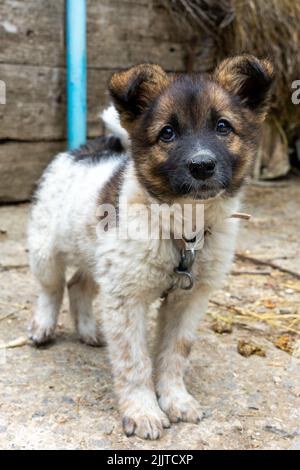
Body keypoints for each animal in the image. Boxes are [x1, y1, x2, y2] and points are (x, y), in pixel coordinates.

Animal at [28, 57, 274, 438]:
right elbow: (135, 362)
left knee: (79, 285)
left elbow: (174, 354)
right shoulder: (126, 298)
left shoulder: (188, 300)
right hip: (46, 249)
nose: (202, 165)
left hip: (96, 257)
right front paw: (143, 411)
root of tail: (88, 148)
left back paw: (88, 331)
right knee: (51, 288)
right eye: (167, 133)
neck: (183, 233)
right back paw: (42, 327)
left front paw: (175, 399)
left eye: (223, 127)